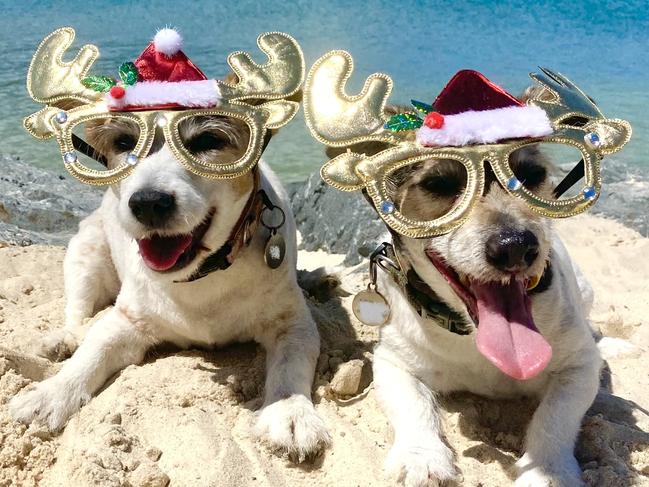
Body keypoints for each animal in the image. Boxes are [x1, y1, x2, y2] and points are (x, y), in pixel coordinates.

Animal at [9, 107, 332, 462]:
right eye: (124, 142)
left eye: (208, 140)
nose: (148, 203)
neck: (202, 274)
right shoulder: (127, 320)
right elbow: (93, 352)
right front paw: (50, 394)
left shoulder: (292, 323)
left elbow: (290, 364)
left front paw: (289, 413)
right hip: (86, 252)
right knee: (78, 313)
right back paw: (63, 340)